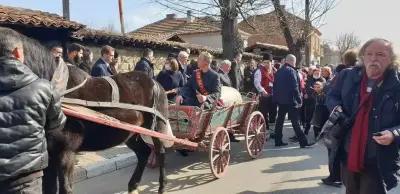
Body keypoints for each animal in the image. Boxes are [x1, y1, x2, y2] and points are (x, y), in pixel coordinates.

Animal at [12, 27, 170, 194]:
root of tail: (154, 82)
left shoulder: (65, 152)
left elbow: (65, 188)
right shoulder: (50, 156)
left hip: (156, 128)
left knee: (160, 152)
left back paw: (162, 186)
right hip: (130, 132)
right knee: (143, 153)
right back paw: (133, 185)